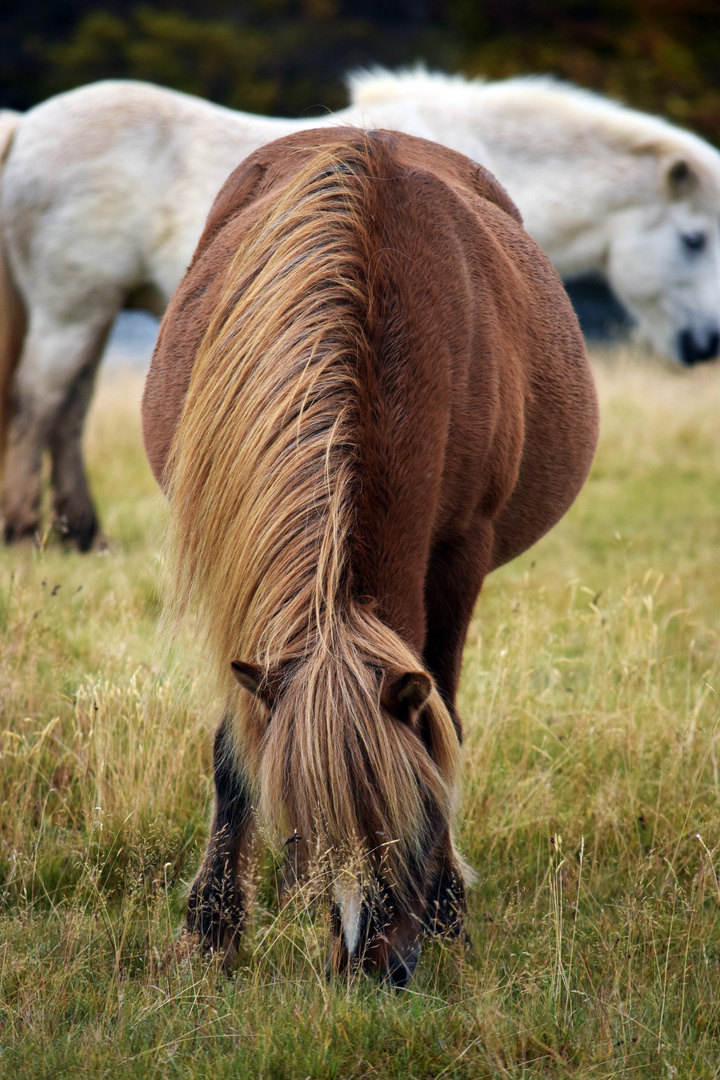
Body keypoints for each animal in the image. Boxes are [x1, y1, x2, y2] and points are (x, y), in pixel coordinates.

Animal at [0, 73, 716, 548]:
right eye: (693, 239)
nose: (704, 344)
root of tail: (27, 127)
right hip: (72, 311)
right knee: (39, 403)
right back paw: (25, 529)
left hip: (93, 314)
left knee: (68, 411)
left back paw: (82, 534)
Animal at [140, 126, 595, 989]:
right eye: (309, 827)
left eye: (410, 819)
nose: (371, 968)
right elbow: (234, 750)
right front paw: (211, 930)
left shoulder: (460, 552)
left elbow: (444, 722)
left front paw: (450, 913)